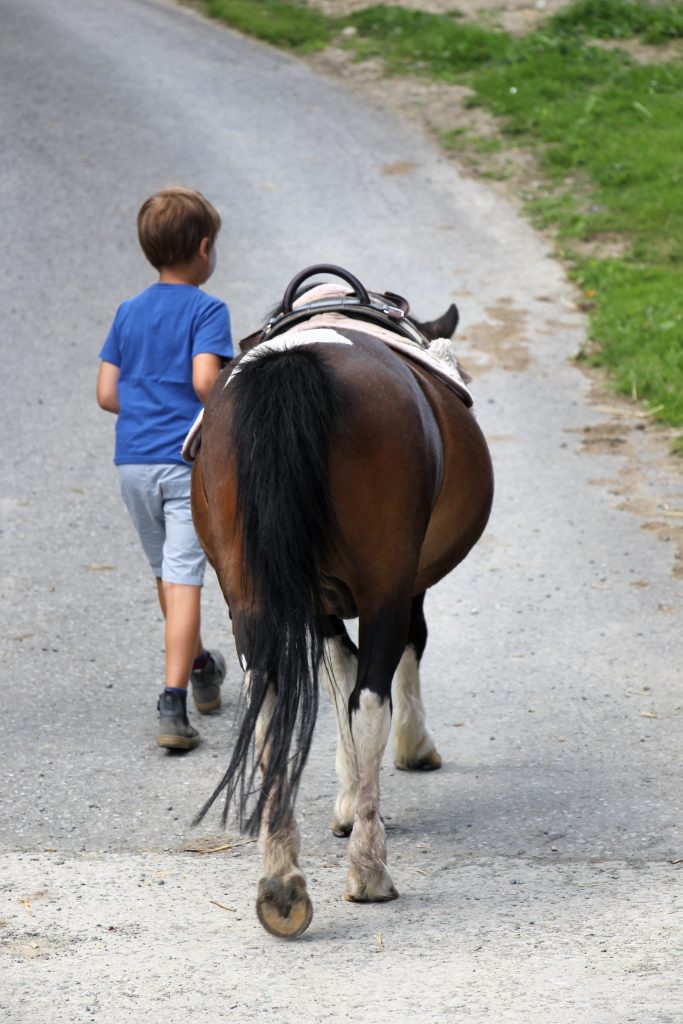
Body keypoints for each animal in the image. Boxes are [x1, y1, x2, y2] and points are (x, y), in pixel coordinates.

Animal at [189, 264, 493, 937]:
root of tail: (298, 362)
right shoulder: (405, 584)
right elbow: (392, 661)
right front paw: (403, 757)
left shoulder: (313, 600)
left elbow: (335, 667)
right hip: (384, 586)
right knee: (370, 698)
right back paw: (369, 870)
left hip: (249, 596)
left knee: (270, 706)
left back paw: (281, 882)